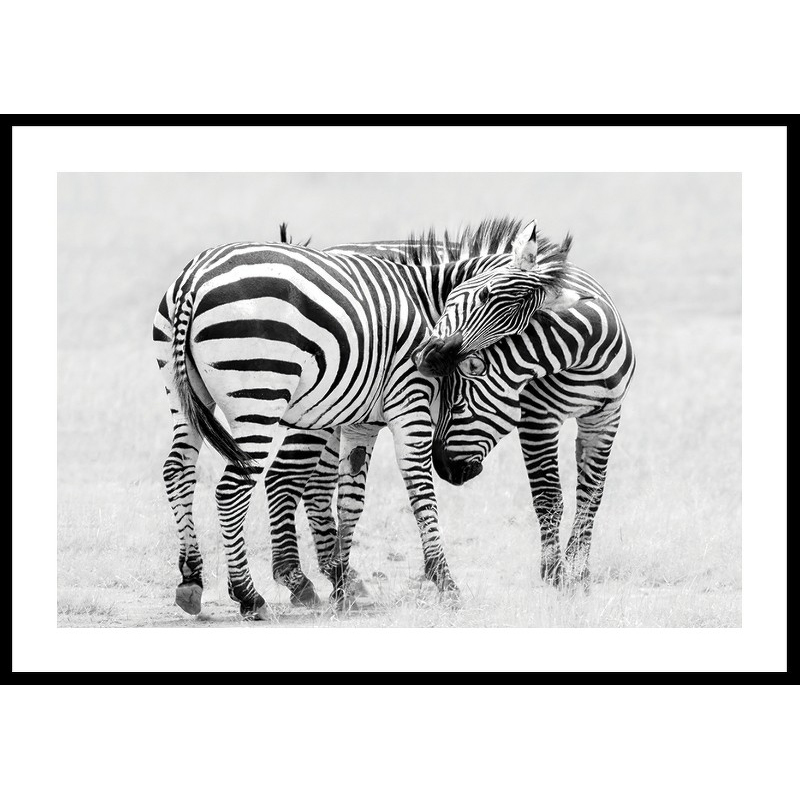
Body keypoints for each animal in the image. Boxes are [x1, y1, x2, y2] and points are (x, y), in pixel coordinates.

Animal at [153, 220, 543, 618]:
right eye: (486, 296)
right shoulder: (409, 401)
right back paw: (249, 595)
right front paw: (445, 583)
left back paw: (192, 580)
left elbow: (351, 497)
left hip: (185, 395)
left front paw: (343, 584)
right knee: (234, 488)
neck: (424, 299)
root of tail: (195, 279)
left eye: (514, 326)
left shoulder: (363, 419)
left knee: (178, 472)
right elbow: (419, 490)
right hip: (260, 395)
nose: (431, 358)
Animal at [413, 223, 635, 586]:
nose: (433, 360)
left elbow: (592, 493)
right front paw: (553, 572)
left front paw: (578, 568)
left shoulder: (606, 418)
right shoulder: (537, 420)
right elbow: (548, 497)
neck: (585, 359)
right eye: (483, 296)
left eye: (458, 406)